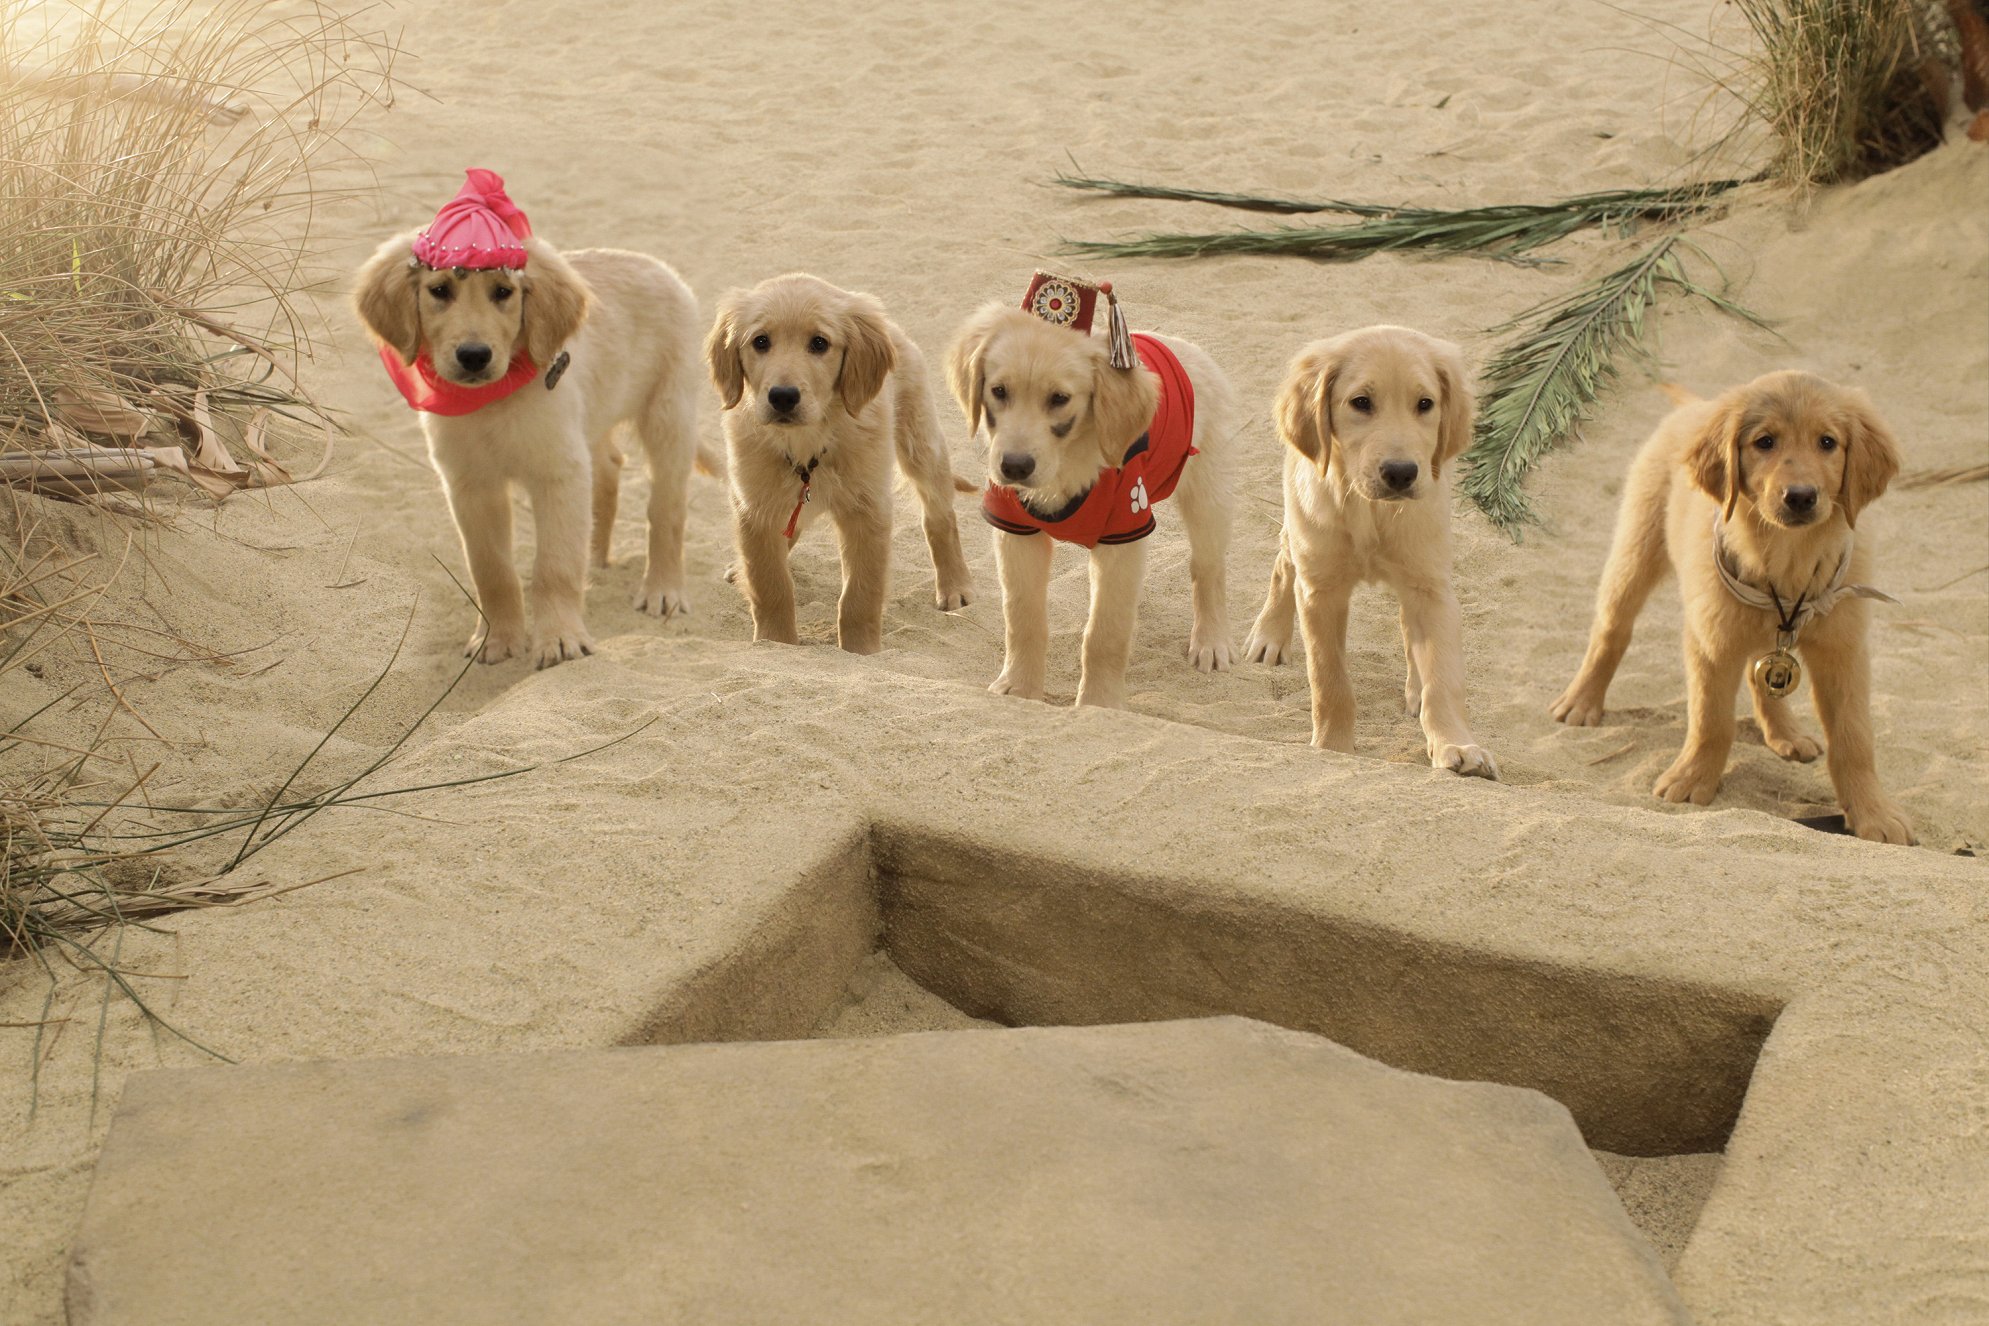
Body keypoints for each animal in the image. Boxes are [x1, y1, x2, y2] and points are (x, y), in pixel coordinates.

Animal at [356, 173, 708, 675]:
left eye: (504, 292)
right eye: (440, 291)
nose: (474, 355)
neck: (491, 403)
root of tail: (657, 266)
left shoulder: (557, 473)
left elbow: (553, 566)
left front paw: (560, 639)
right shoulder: (470, 485)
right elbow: (491, 570)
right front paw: (498, 639)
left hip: (669, 414)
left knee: (667, 509)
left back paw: (663, 589)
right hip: (592, 421)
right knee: (607, 471)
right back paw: (594, 559)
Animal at [708, 274, 970, 652]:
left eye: (819, 343)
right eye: (760, 341)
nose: (783, 397)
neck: (808, 442)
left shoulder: (868, 509)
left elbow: (860, 595)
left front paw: (861, 651)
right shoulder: (755, 507)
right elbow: (771, 585)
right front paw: (776, 642)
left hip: (920, 445)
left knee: (940, 515)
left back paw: (955, 585)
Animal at [942, 274, 1233, 711]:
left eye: (1059, 399)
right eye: (999, 391)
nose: (1014, 468)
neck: (1066, 462)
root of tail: (1180, 345)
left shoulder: (1125, 528)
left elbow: (1104, 632)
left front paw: (1099, 703)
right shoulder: (1015, 530)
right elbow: (1023, 616)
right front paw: (1020, 690)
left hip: (1208, 492)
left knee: (1207, 568)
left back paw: (1211, 641)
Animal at [1241, 324, 1495, 779]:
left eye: (1425, 404)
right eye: (1360, 402)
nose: (1401, 473)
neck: (1371, 511)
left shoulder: (1432, 588)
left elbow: (1445, 679)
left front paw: (1456, 745)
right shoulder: (1321, 591)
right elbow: (1330, 679)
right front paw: (1333, 748)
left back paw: (1416, 686)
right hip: (1299, 519)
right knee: (1285, 563)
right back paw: (1269, 633)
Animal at [1551, 367, 1909, 846]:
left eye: (1827, 442)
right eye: (1765, 442)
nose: (1800, 496)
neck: (1785, 559)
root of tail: (1698, 407)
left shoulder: (1844, 649)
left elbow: (1854, 739)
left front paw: (1874, 813)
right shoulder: (1710, 638)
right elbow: (1711, 719)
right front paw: (1692, 780)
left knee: (1765, 672)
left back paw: (1786, 733)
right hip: (1636, 548)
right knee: (1612, 629)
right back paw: (1582, 700)